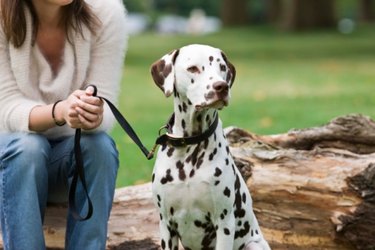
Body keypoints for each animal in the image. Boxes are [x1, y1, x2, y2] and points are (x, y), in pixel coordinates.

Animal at [150, 44, 270, 250]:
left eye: (222, 67)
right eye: (193, 68)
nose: (221, 86)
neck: (190, 146)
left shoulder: (224, 222)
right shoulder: (166, 225)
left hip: (253, 245)